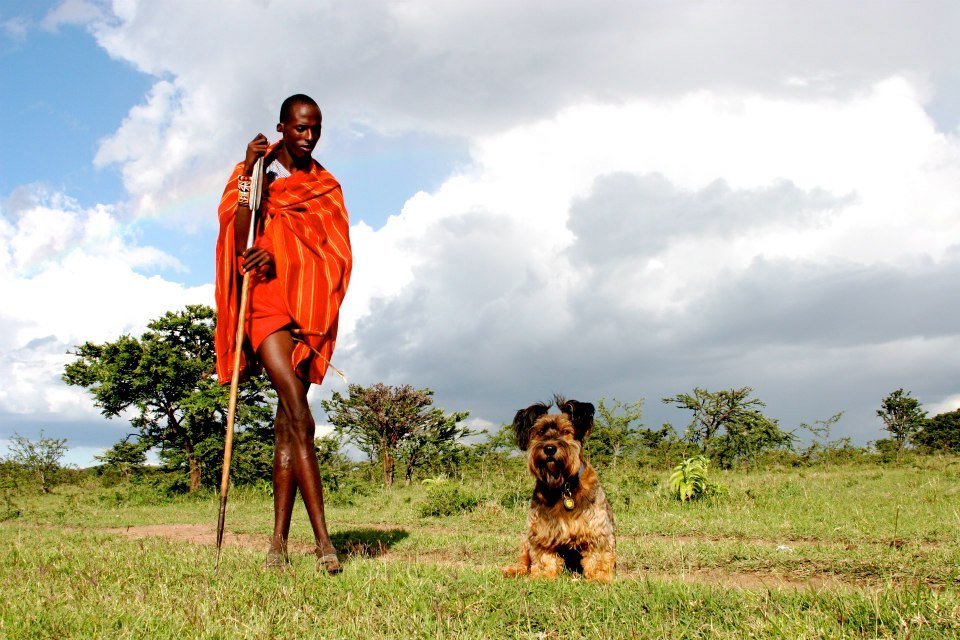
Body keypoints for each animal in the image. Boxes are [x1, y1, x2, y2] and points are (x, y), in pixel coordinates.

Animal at [502, 398, 616, 584]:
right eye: (540, 431)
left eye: (565, 431)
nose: (549, 448)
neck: (563, 486)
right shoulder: (541, 531)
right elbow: (544, 558)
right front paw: (543, 576)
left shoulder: (597, 530)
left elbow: (598, 555)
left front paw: (599, 578)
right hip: (527, 539)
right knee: (524, 562)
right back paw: (512, 570)